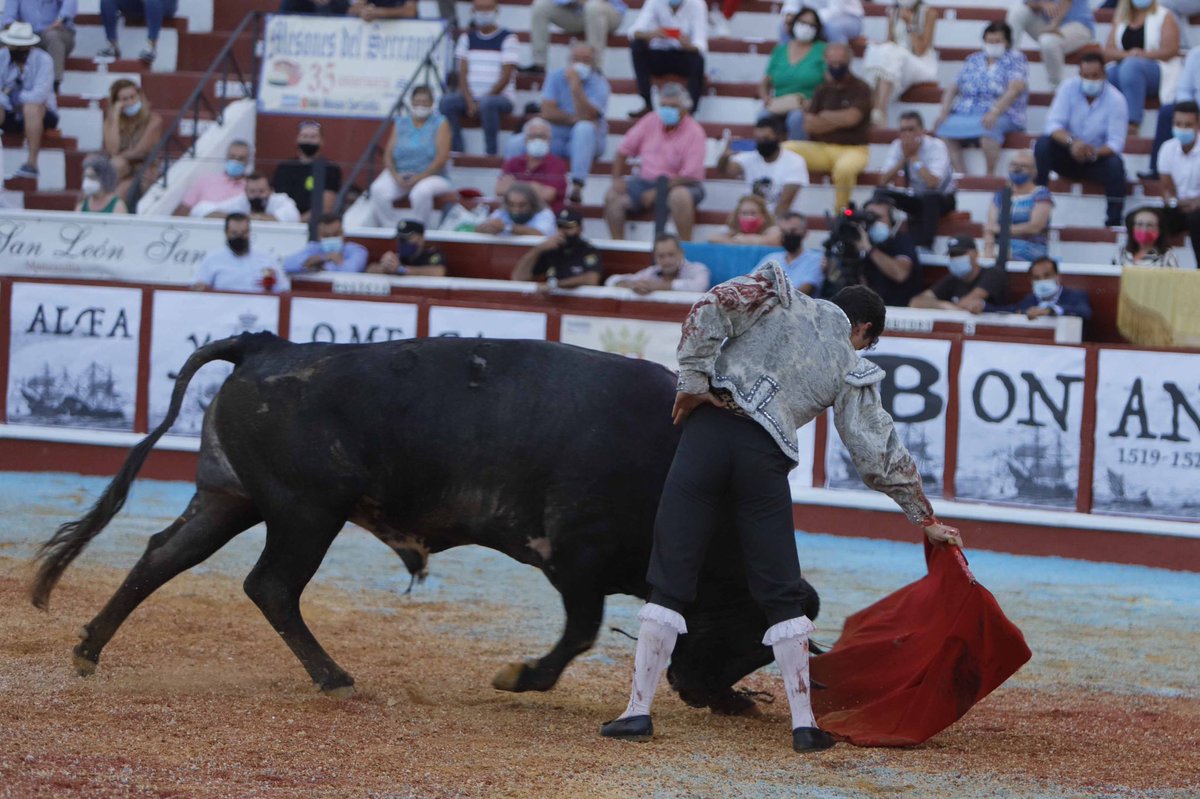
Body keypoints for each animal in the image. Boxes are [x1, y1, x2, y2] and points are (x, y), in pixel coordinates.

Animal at [28, 328, 820, 710]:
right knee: (270, 585)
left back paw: (88, 648)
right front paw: (519, 676)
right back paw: (335, 677)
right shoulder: (577, 557)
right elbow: (581, 631)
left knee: (163, 555)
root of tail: (269, 345)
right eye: (752, 629)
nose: (712, 696)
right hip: (306, 511)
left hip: (231, 497)